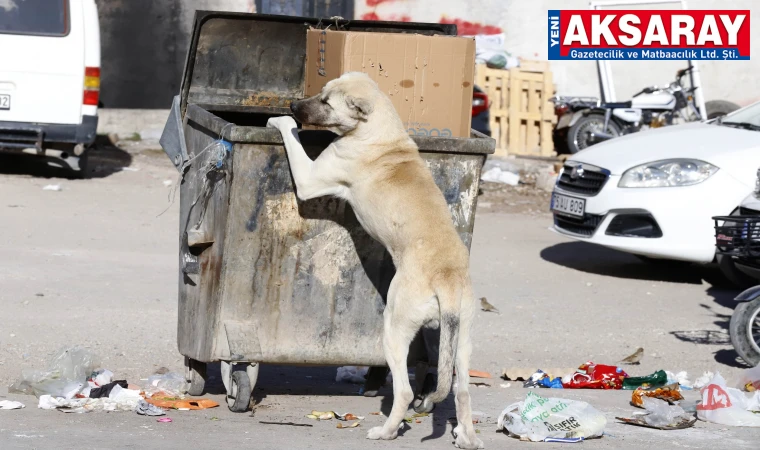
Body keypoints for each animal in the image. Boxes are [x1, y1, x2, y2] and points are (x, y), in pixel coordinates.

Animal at [268, 72, 480, 448]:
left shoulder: (309, 179)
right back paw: (466, 436)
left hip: (394, 327)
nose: (292, 104)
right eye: (321, 93)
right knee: (462, 389)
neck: (380, 133)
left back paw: (386, 431)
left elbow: (292, 136)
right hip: (462, 339)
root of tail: (447, 277)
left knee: (406, 391)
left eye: (327, 102)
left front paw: (280, 120)